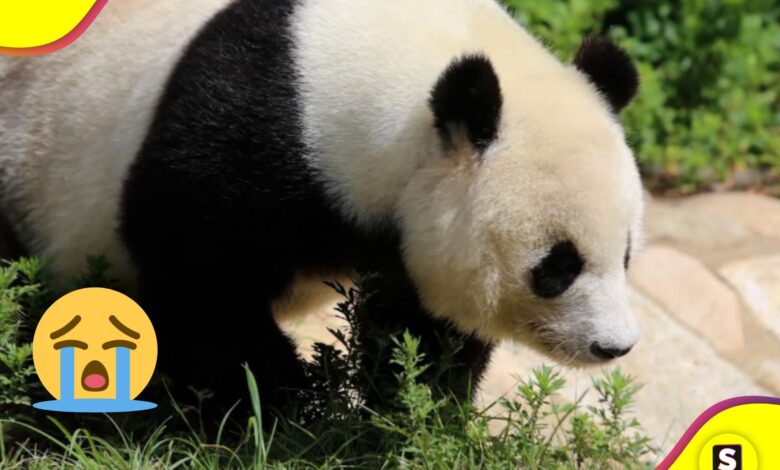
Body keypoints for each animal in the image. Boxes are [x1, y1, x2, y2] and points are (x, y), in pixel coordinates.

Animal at [0, 0, 643, 417]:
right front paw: (283, 399)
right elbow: (198, 277)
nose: (614, 347)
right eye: (558, 266)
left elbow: (423, 328)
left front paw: (418, 410)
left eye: (627, 256)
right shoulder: (240, 137)